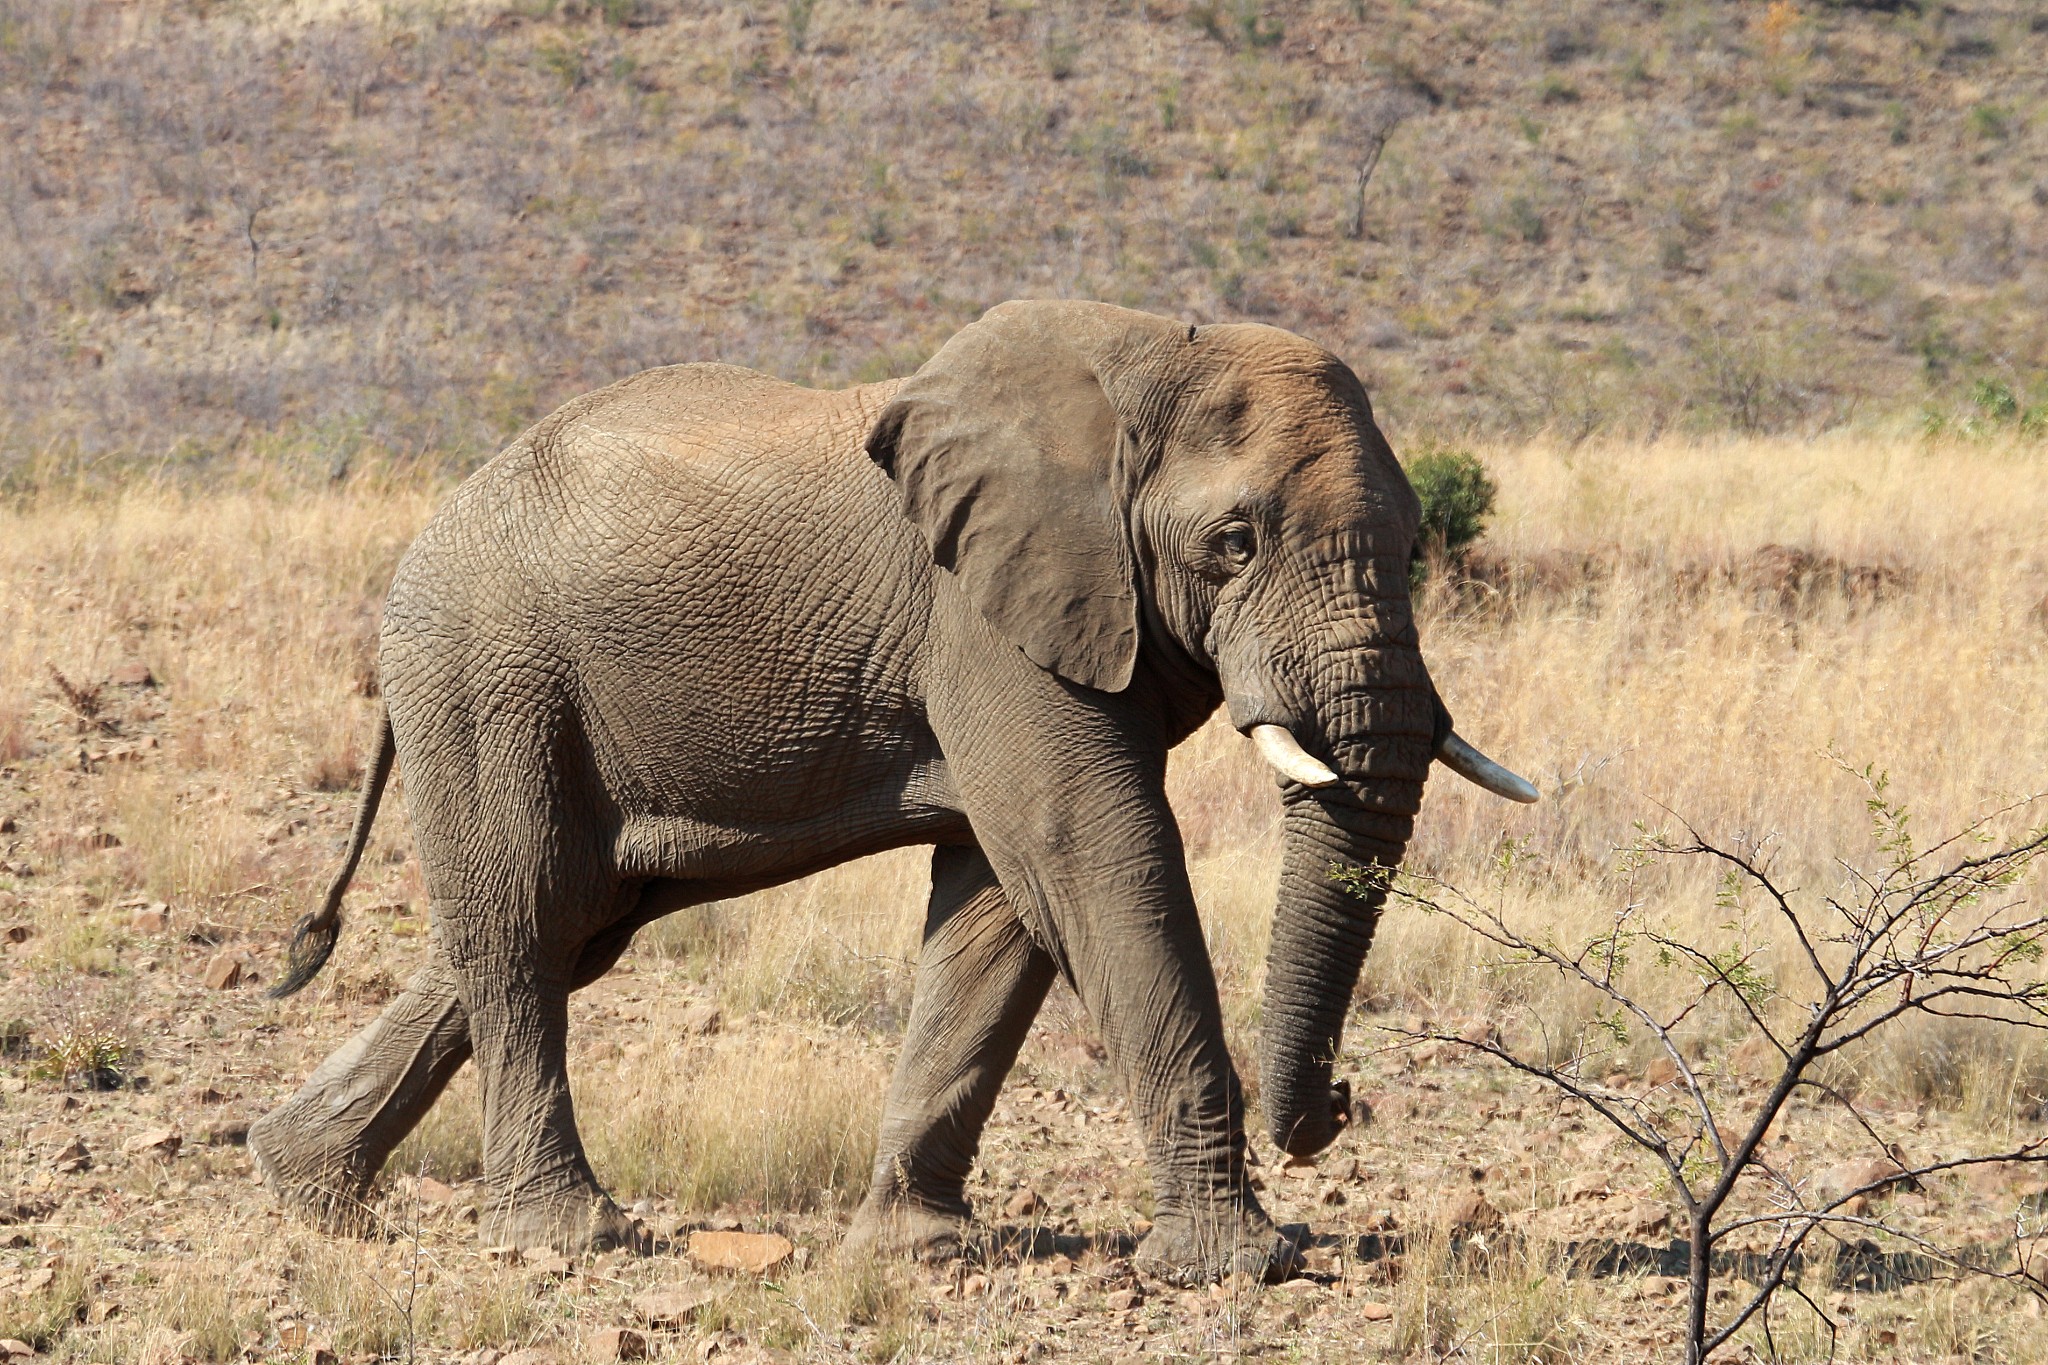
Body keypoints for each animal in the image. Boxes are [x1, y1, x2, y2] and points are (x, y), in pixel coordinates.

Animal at [247, 294, 1531, 1285]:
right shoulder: (982, 618)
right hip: (488, 676)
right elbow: (1094, 857)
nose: (1340, 1104)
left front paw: (918, 1253)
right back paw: (568, 1238)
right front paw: (1241, 1266)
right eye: (1233, 544)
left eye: (1412, 543)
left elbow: (1001, 907)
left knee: (559, 924)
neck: (1143, 360)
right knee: (521, 926)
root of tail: (424, 539)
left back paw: (303, 1188)